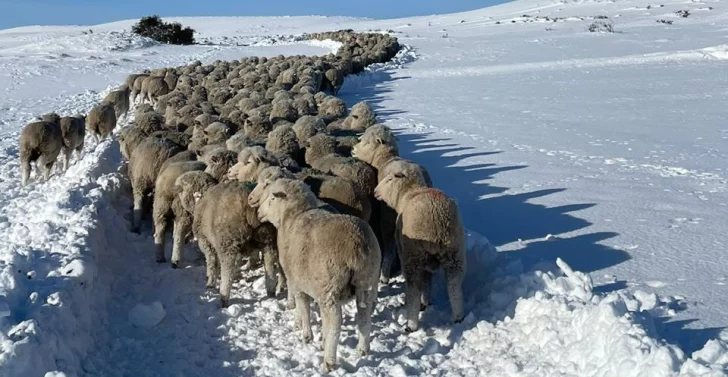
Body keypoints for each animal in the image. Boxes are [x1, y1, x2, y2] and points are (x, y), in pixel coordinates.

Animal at [176, 172, 278, 304]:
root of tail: (250, 206)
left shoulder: (206, 241)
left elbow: (212, 262)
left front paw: (210, 282)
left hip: (227, 242)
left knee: (227, 270)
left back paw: (224, 296)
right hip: (267, 237)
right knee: (270, 266)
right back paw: (271, 292)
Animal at [372, 169, 464, 330]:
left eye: (389, 180)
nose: (375, 191)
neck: (408, 192)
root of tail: (437, 219)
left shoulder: (404, 252)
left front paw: (422, 303)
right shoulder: (428, 264)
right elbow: (427, 282)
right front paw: (426, 302)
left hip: (413, 255)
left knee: (413, 288)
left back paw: (411, 324)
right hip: (454, 253)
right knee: (454, 286)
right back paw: (458, 317)